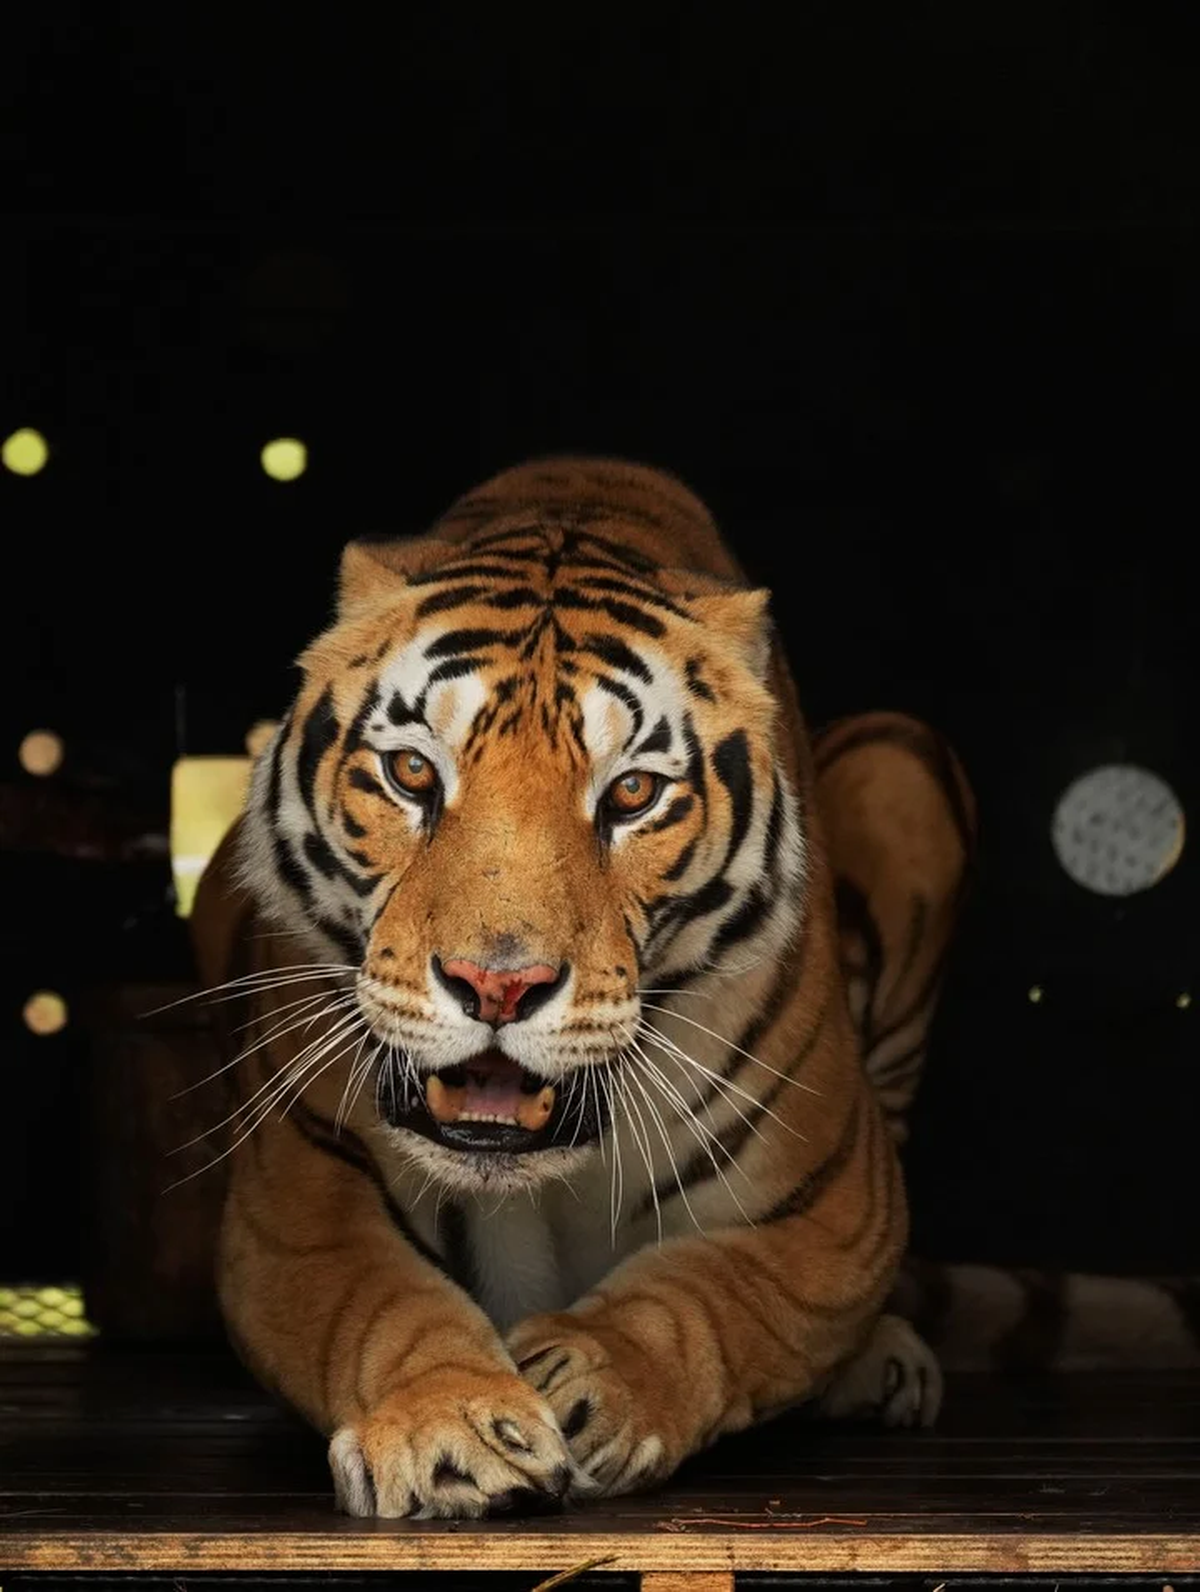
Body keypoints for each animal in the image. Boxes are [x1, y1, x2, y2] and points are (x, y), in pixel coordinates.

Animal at [191, 456, 973, 1518]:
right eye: (411, 773)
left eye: (632, 794)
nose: (497, 984)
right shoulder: (295, 1193)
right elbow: (378, 1301)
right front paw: (448, 1430)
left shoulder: (842, 1197)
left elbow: (721, 1294)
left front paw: (597, 1379)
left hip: (900, 761)